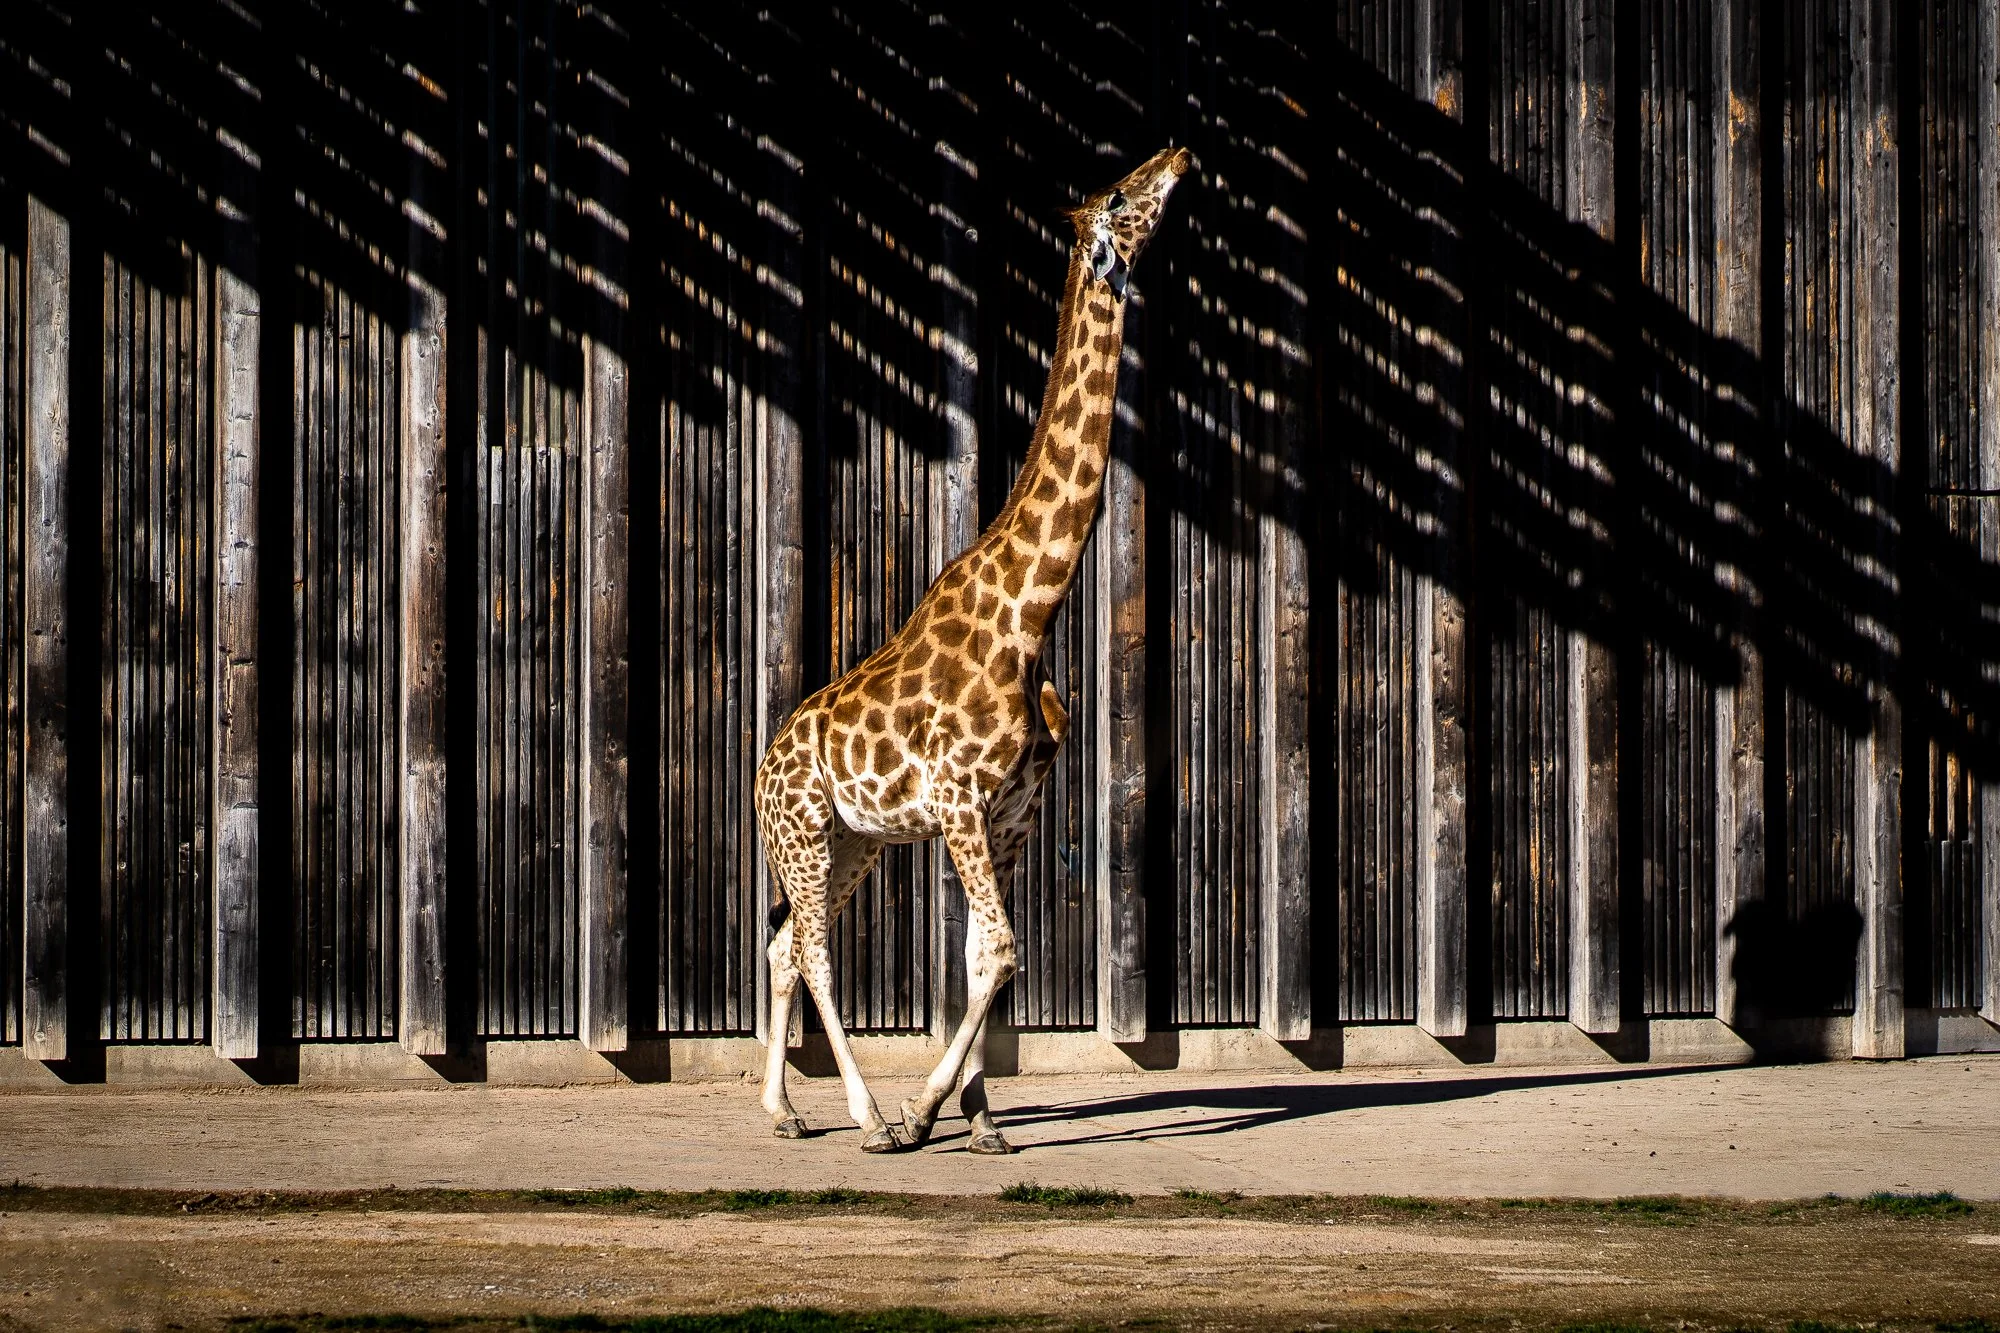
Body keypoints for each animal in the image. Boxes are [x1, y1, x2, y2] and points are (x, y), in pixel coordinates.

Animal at [754, 145, 1192, 1154]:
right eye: (1121, 193)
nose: (1180, 154)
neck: (1032, 613)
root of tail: (761, 769)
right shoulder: (959, 799)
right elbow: (999, 947)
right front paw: (924, 1110)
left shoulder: (1011, 813)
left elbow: (978, 954)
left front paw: (983, 1118)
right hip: (804, 831)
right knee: (812, 947)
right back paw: (869, 1116)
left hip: (853, 840)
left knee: (784, 942)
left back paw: (785, 1112)